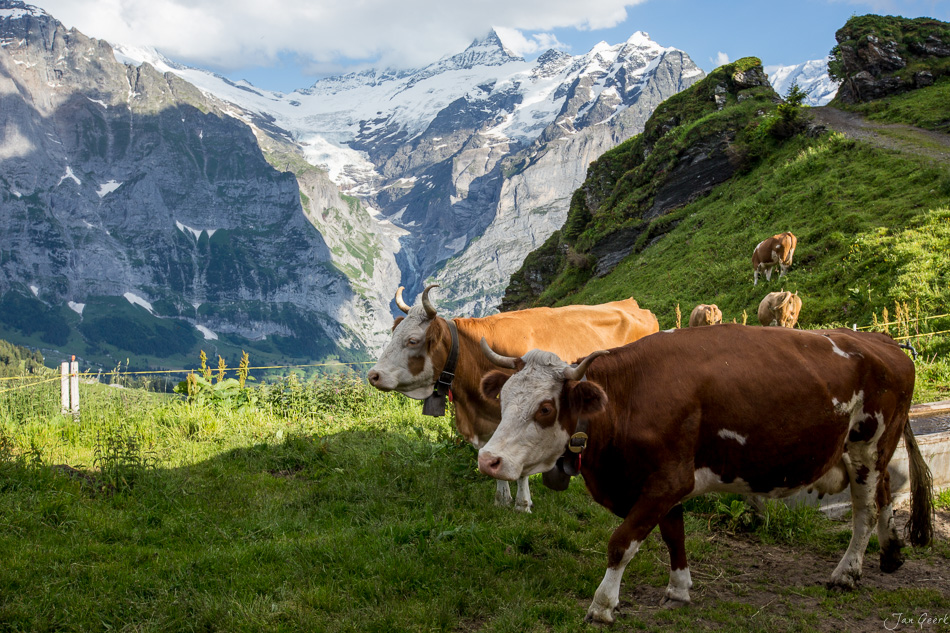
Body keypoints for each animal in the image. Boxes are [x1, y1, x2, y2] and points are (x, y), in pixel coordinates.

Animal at [367, 284, 659, 512]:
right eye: (394, 334)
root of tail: (631, 303)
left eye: (412, 340)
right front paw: (501, 498)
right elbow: (491, 453)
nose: (373, 375)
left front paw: (521, 502)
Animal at [477, 325, 932, 624]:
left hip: (867, 446)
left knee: (865, 512)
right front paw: (679, 590)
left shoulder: (668, 479)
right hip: (873, 452)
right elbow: (673, 533)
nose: (488, 460)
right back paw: (891, 553)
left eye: (545, 408)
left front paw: (602, 605)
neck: (629, 396)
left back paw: (846, 574)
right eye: (504, 398)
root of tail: (884, 342)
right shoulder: (661, 482)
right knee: (886, 494)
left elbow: (622, 542)